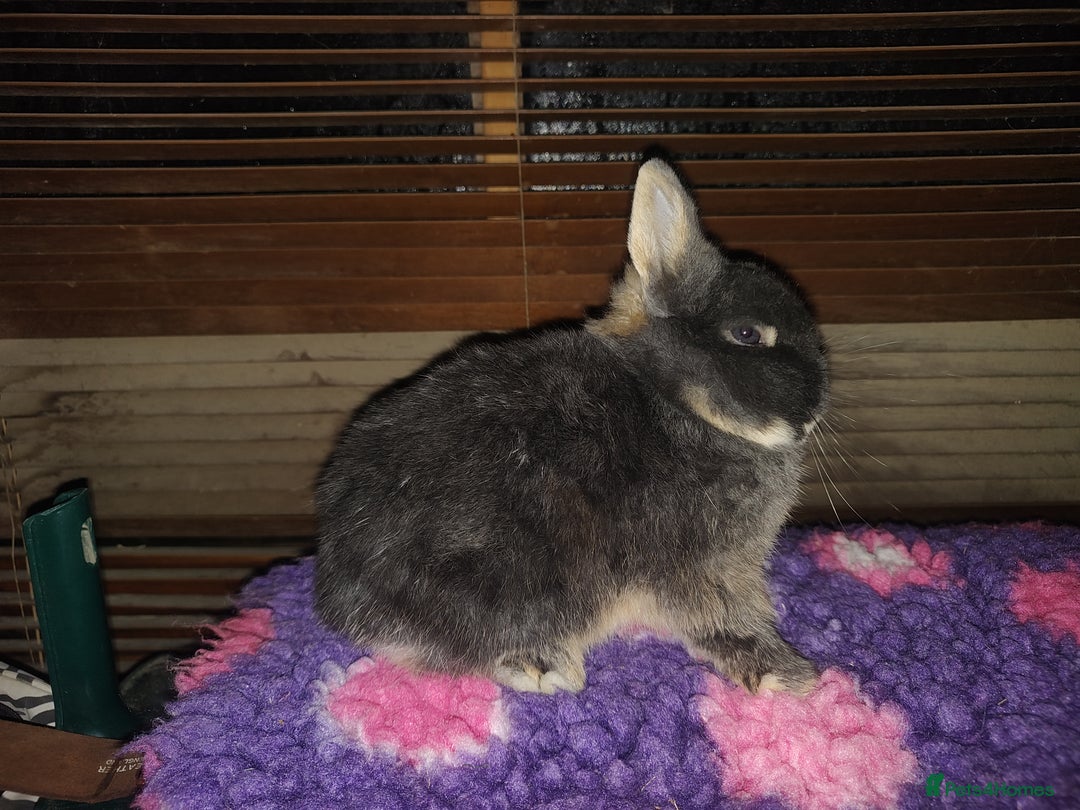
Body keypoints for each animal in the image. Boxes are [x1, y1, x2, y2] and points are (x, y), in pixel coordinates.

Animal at [314, 157, 828, 695]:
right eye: (747, 334)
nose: (814, 412)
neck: (674, 401)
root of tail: (344, 599)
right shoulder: (706, 568)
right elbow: (724, 619)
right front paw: (789, 676)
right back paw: (545, 666)